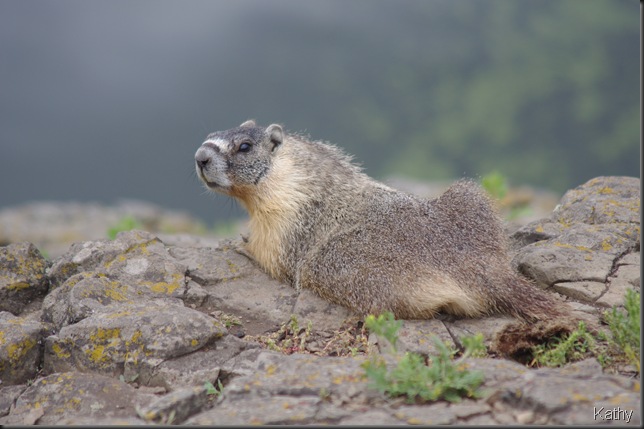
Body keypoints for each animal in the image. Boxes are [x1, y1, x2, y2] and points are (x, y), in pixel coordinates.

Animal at [194, 120, 573, 326]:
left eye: (244, 147)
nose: (199, 156)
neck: (285, 170)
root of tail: (483, 268)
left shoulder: (284, 215)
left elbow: (271, 252)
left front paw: (240, 244)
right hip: (470, 197)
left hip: (335, 262)